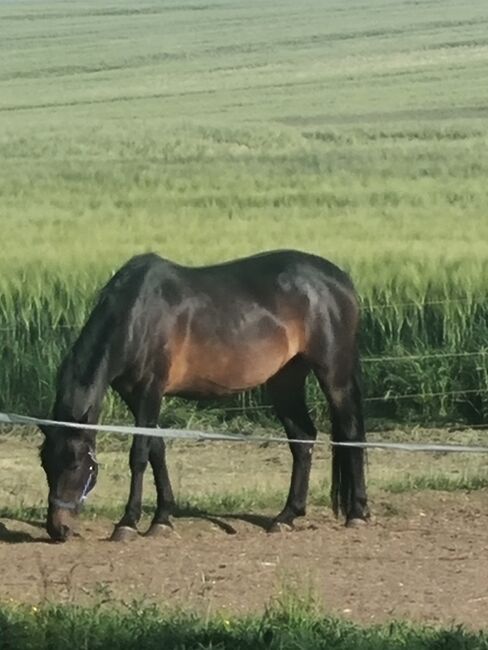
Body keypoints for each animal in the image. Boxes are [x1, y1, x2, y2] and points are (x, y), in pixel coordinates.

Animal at [40, 251, 368, 540]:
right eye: (44, 462)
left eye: (75, 463)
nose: (58, 529)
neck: (137, 314)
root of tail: (341, 280)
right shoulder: (134, 395)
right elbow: (157, 450)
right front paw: (162, 518)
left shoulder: (150, 390)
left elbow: (140, 454)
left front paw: (128, 522)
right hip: (285, 379)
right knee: (302, 438)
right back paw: (287, 516)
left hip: (333, 374)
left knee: (351, 433)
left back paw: (358, 513)